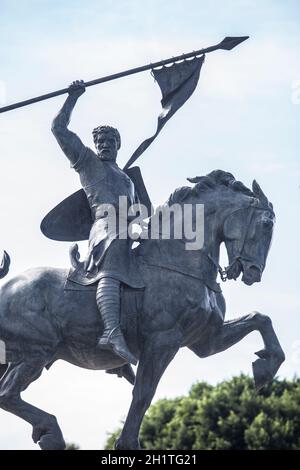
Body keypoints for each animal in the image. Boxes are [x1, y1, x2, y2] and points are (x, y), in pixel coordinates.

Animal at [0, 171, 284, 450]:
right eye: (267, 224)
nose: (253, 272)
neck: (176, 262)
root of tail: (6, 289)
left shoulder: (206, 341)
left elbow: (260, 319)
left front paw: (265, 368)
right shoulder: (162, 342)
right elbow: (143, 393)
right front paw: (127, 443)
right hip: (36, 353)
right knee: (7, 394)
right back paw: (52, 432)